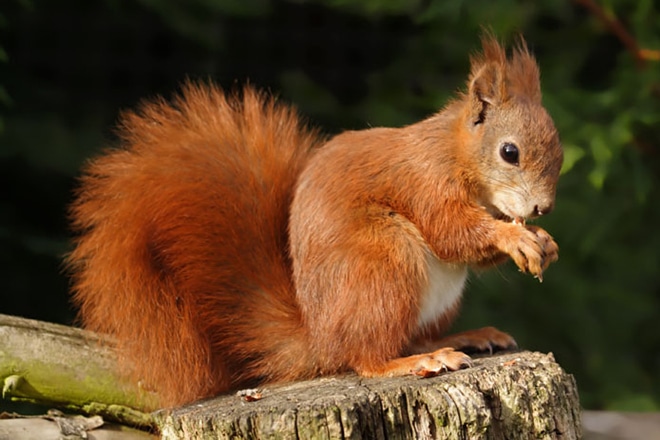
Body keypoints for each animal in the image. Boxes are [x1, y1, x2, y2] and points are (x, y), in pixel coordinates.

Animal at [65, 36, 564, 410]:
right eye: (509, 152)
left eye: (558, 154)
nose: (541, 209)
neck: (457, 152)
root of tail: (320, 337)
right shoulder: (426, 182)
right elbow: (452, 233)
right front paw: (514, 237)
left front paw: (544, 241)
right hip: (383, 261)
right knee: (367, 356)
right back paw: (416, 362)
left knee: (407, 337)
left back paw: (466, 337)